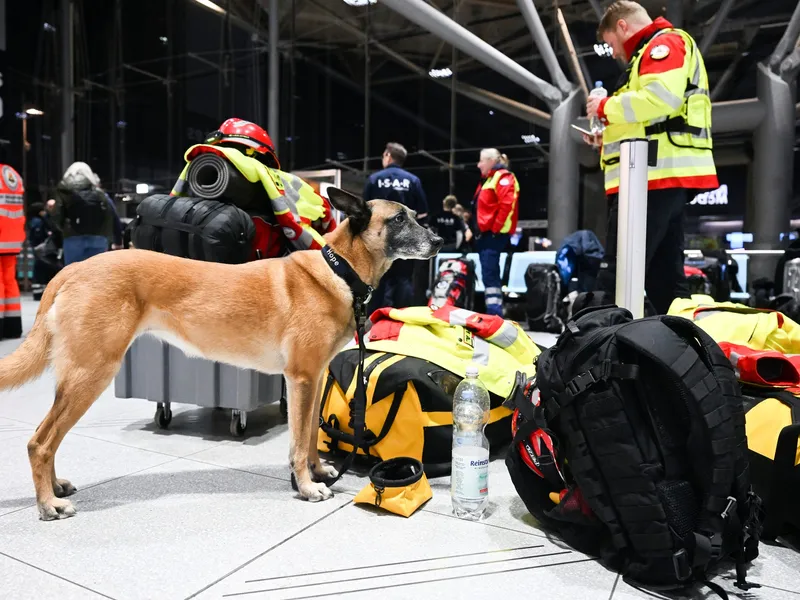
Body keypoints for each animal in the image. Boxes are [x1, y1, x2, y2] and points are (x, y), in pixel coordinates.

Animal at [0, 189, 444, 520]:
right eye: (399, 219)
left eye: (413, 216)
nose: (440, 241)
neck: (340, 269)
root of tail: (71, 269)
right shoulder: (300, 378)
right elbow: (298, 443)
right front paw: (305, 486)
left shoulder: (315, 378)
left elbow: (307, 439)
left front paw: (318, 472)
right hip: (91, 374)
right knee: (40, 442)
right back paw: (48, 504)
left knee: (47, 438)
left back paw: (54, 487)